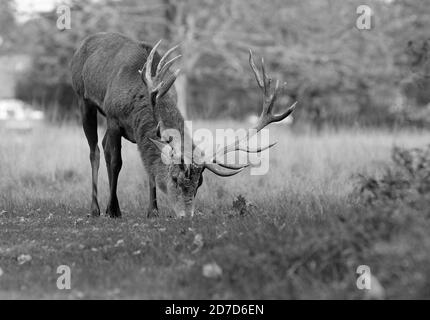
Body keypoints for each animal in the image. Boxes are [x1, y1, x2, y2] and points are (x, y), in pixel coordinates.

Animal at [71, 31, 296, 218]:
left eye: (199, 184)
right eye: (174, 179)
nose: (187, 215)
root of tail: (84, 43)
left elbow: (150, 166)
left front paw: (153, 211)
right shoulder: (113, 117)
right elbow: (116, 161)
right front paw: (113, 210)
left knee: (103, 146)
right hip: (83, 99)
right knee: (96, 151)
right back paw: (96, 208)